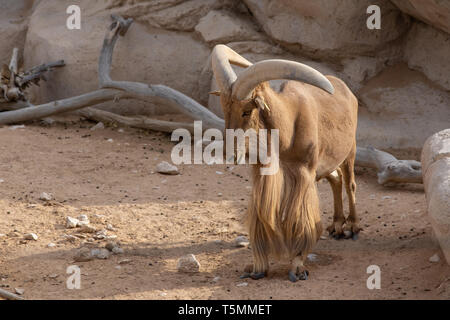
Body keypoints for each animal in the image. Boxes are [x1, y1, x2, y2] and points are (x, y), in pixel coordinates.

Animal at [209, 45, 360, 282]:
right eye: (225, 110)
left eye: (246, 111)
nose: (229, 153)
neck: (287, 127)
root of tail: (348, 92)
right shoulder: (264, 172)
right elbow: (262, 216)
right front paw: (257, 268)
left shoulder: (304, 173)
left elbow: (299, 218)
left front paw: (297, 267)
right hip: (327, 163)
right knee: (335, 180)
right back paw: (336, 225)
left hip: (349, 151)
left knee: (349, 183)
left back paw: (352, 226)